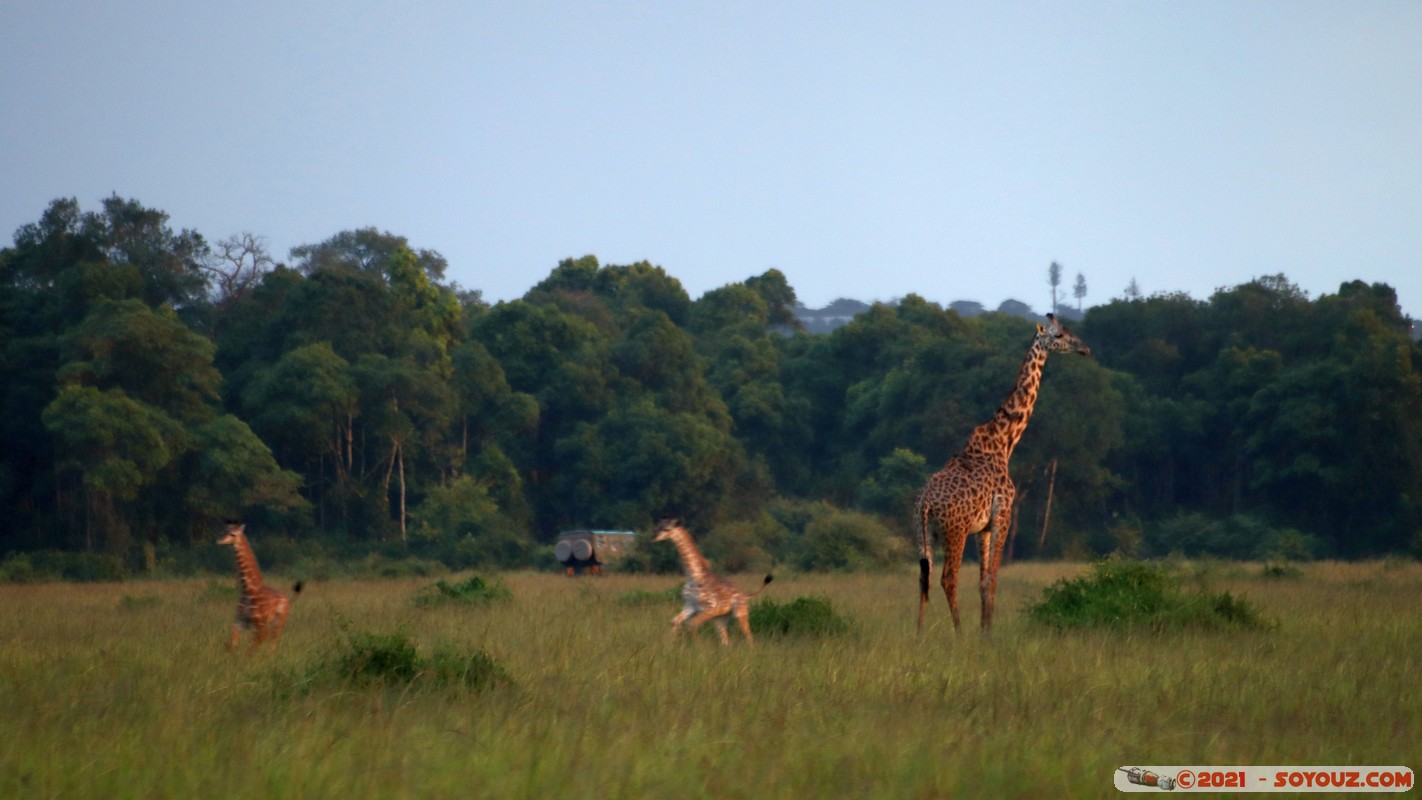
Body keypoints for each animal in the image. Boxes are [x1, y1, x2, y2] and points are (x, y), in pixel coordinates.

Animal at [217, 522, 303, 651]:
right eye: (224, 530)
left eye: (233, 534)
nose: (219, 540)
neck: (248, 591)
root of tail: (287, 600)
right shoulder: (238, 621)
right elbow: (232, 645)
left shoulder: (259, 626)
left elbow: (251, 650)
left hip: (279, 622)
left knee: (273, 644)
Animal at [916, 313, 1090, 633]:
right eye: (1059, 335)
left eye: (1069, 330)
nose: (1085, 349)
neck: (1004, 440)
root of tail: (926, 505)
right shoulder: (1003, 515)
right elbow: (992, 579)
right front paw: (987, 635)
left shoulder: (982, 527)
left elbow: (983, 581)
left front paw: (985, 630)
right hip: (954, 531)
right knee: (948, 578)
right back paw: (958, 633)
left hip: (926, 533)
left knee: (924, 577)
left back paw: (919, 634)